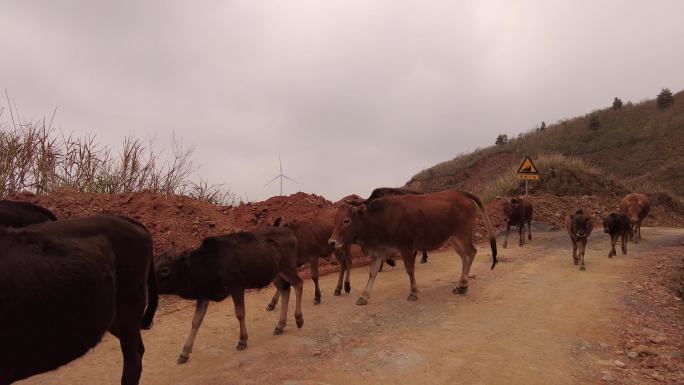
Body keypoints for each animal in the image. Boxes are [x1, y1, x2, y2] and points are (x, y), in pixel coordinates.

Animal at [156, 226, 306, 364]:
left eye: (165, 269)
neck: (207, 265)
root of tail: (288, 232)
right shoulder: (203, 295)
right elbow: (195, 322)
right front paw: (184, 353)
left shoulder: (236, 287)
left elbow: (240, 314)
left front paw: (242, 341)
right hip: (275, 274)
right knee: (285, 290)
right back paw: (280, 325)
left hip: (288, 267)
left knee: (298, 284)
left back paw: (299, 319)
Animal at [328, 188, 494, 304]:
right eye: (335, 220)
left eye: (347, 220)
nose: (331, 242)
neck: (378, 220)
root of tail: (462, 193)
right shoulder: (378, 251)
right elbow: (372, 273)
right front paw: (364, 296)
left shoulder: (406, 246)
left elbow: (409, 269)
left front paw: (413, 292)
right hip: (453, 238)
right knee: (465, 256)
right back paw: (461, 285)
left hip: (462, 234)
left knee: (471, 253)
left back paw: (463, 285)